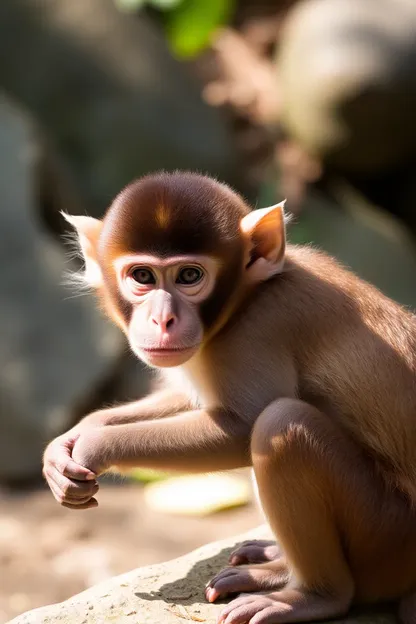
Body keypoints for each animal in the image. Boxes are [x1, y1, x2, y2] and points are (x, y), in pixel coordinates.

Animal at [41, 172, 416, 624]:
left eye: (188, 276)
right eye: (143, 276)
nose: (163, 319)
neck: (247, 297)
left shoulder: (261, 327)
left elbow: (243, 425)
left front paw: (95, 446)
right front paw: (71, 439)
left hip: (387, 538)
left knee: (283, 425)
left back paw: (311, 595)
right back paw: (276, 566)